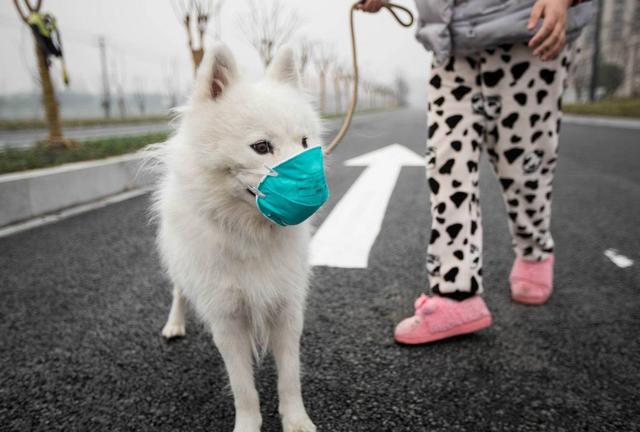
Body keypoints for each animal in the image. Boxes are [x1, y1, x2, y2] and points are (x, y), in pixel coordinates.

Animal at [151, 41, 320, 432]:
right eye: (261, 147)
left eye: (305, 142)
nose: (311, 185)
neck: (250, 232)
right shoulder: (227, 319)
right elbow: (243, 387)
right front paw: (248, 424)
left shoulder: (287, 308)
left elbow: (290, 377)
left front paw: (296, 421)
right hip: (181, 266)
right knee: (179, 291)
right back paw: (174, 324)